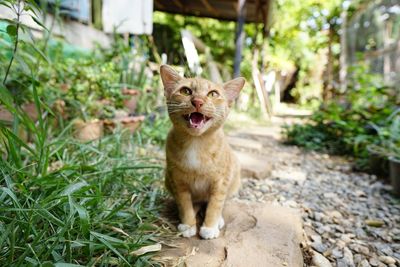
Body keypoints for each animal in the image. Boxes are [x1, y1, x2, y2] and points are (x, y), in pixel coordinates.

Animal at [159, 65, 244, 241]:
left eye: (213, 94)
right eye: (185, 91)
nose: (197, 101)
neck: (196, 143)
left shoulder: (221, 182)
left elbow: (215, 204)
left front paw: (210, 226)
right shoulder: (177, 181)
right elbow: (185, 204)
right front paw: (188, 224)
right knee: (196, 203)